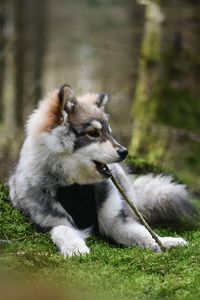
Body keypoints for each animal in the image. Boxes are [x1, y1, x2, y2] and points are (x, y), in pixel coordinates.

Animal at [8, 85, 194, 258]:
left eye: (109, 133)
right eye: (93, 133)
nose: (125, 152)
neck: (76, 186)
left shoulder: (115, 222)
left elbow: (144, 233)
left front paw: (166, 241)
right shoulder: (52, 221)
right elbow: (64, 231)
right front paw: (75, 248)